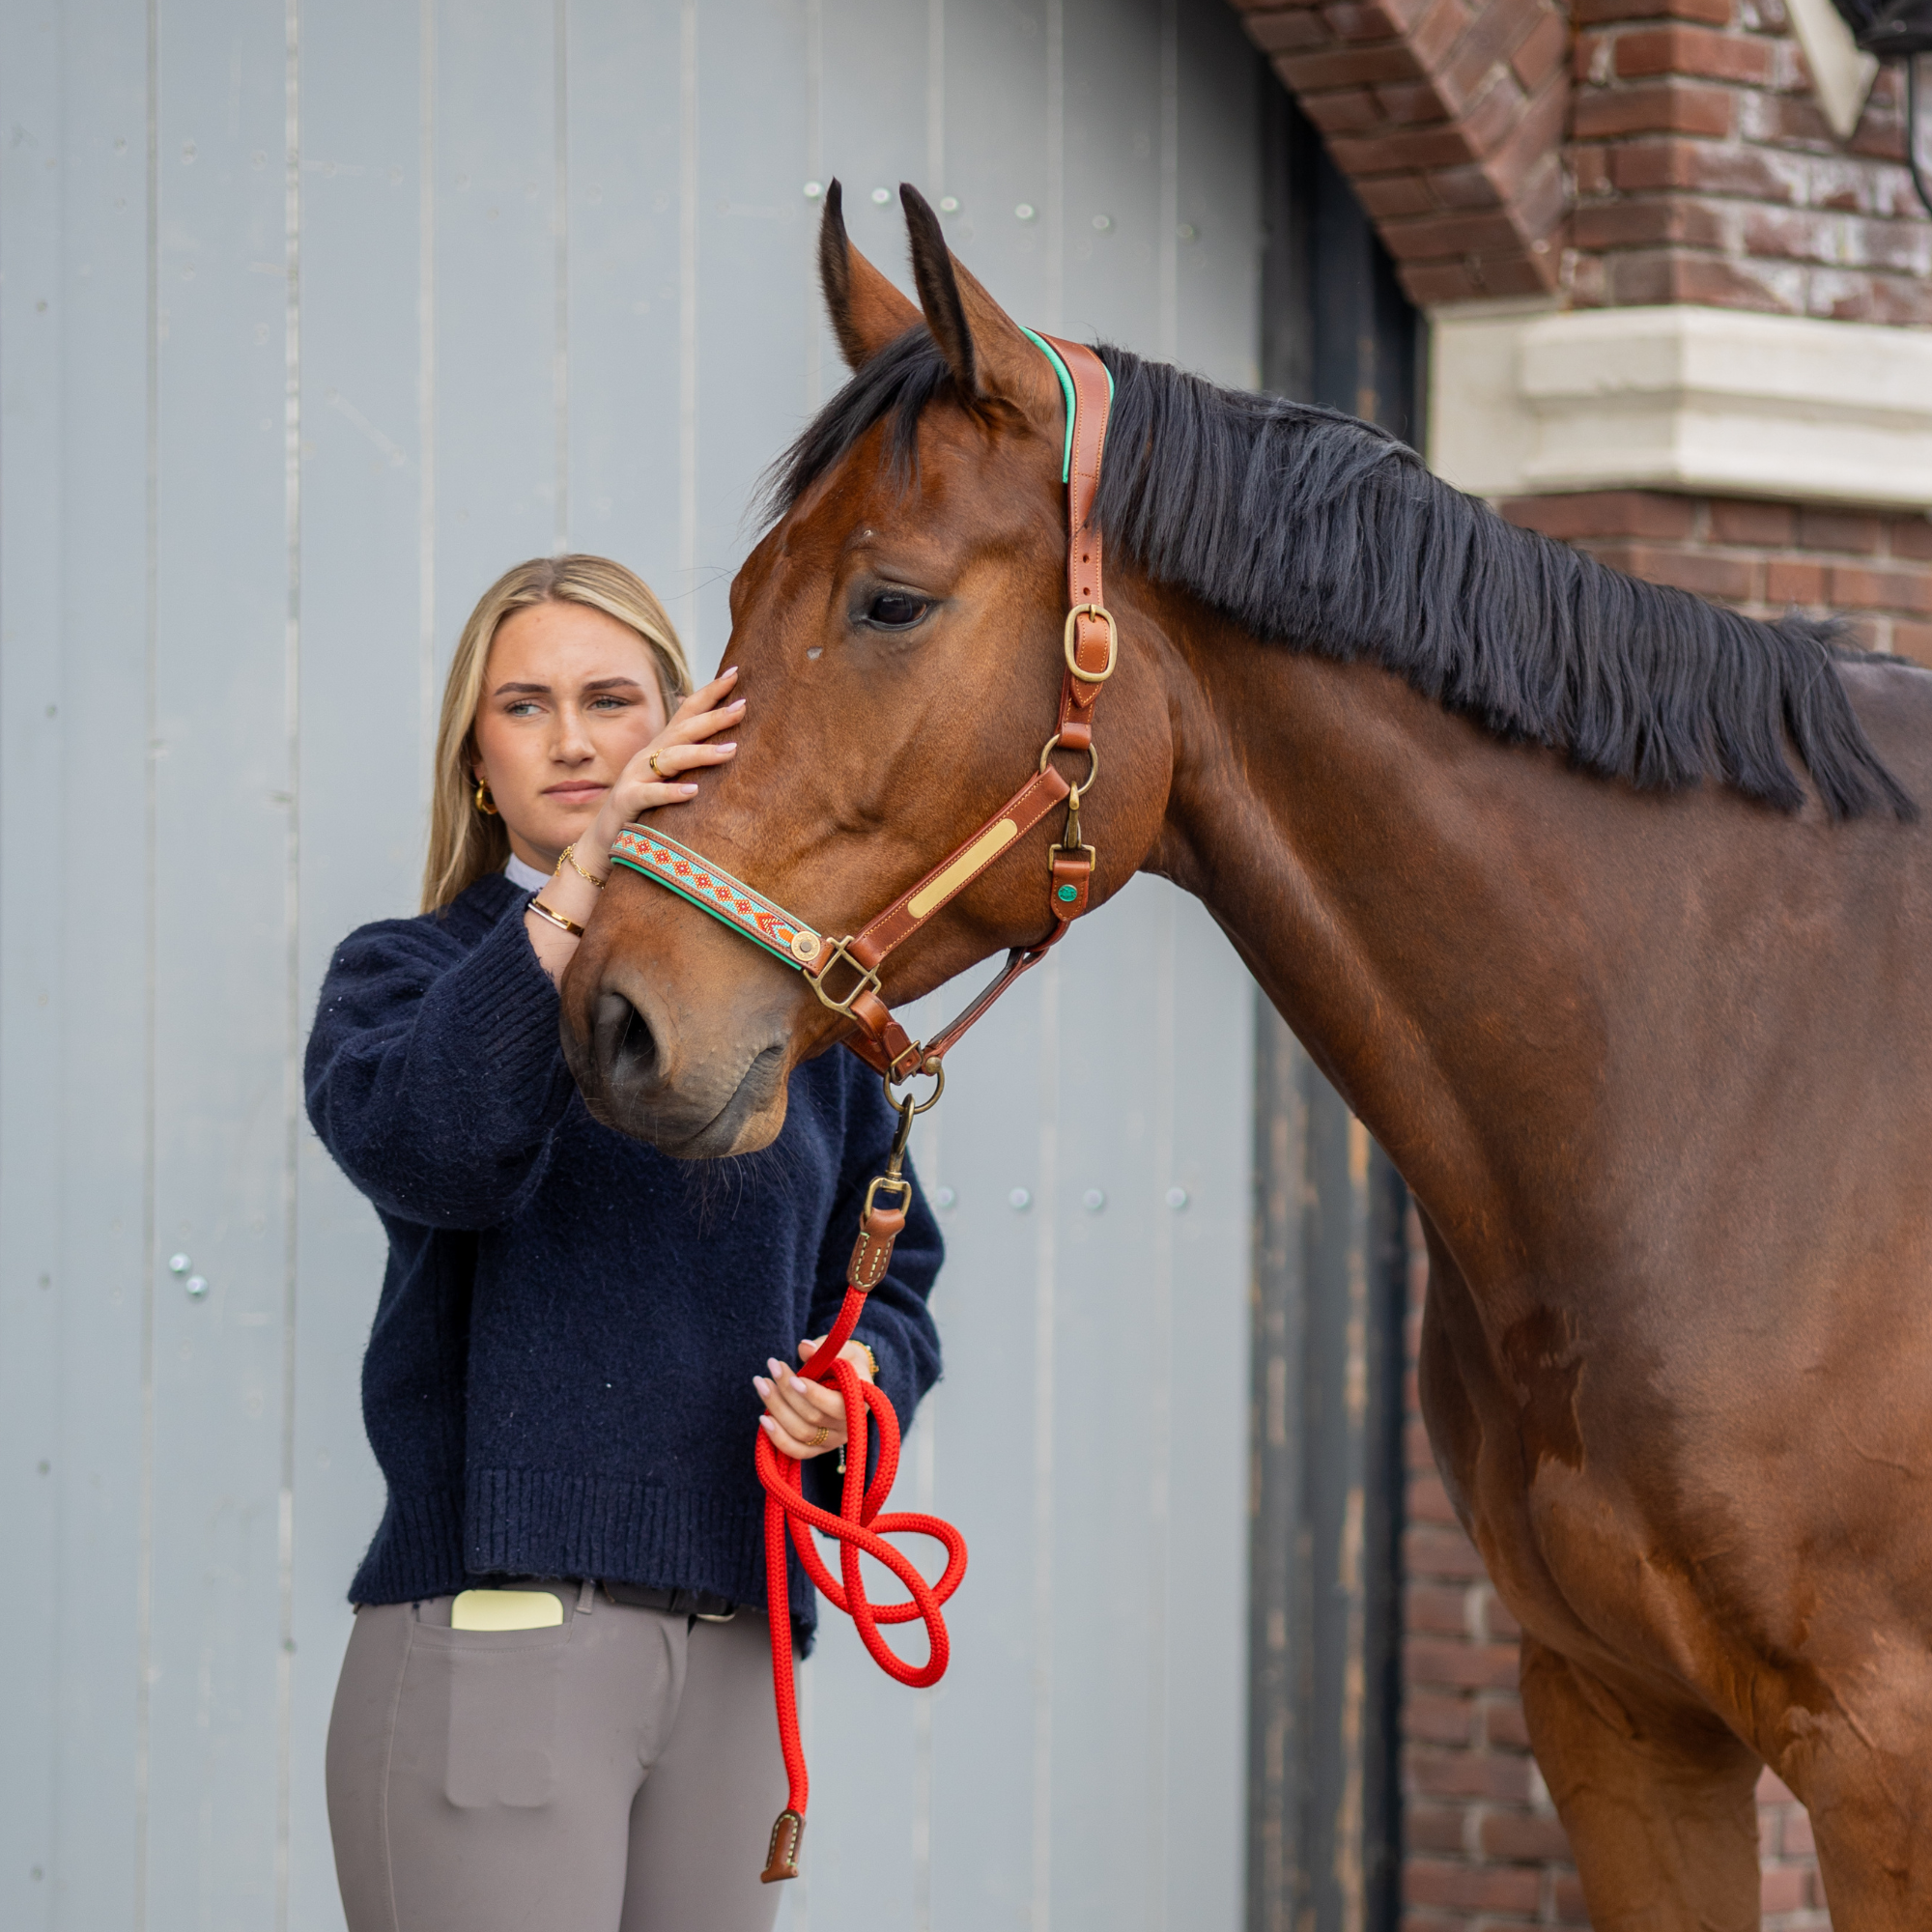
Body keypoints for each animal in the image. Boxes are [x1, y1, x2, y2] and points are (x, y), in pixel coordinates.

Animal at [559, 183, 1932, 1927]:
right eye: (743, 591)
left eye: (891, 600)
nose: (614, 1015)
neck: (1736, 1073)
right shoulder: (1618, 1718)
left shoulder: (1881, 1763)